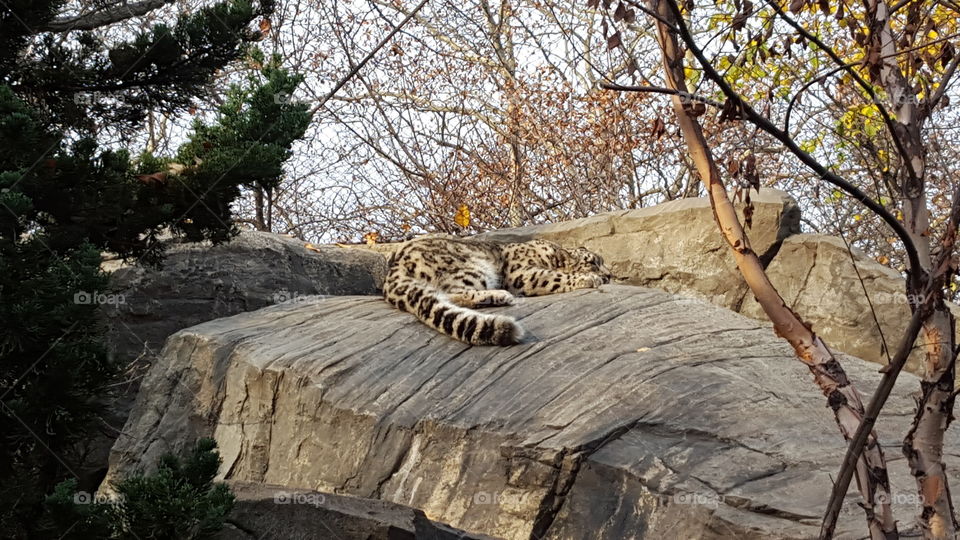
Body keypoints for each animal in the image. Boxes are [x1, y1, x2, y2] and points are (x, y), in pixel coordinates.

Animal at [380, 236, 612, 346]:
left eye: (603, 260)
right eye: (592, 263)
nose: (609, 275)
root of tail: (395, 266)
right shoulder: (524, 274)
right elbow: (556, 276)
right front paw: (590, 279)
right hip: (472, 269)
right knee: (453, 291)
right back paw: (500, 295)